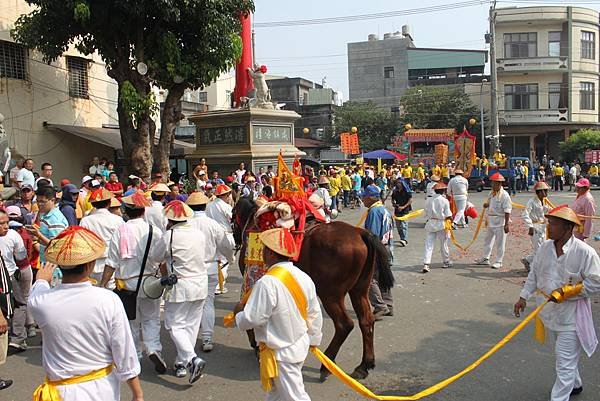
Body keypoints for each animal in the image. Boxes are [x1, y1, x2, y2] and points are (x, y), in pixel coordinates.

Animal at [231, 198, 394, 380]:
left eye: (232, 214)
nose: (235, 239)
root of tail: (360, 233)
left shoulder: (253, 280)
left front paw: (257, 344)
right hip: (359, 290)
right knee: (366, 321)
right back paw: (364, 365)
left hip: (330, 294)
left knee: (344, 325)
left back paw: (327, 364)